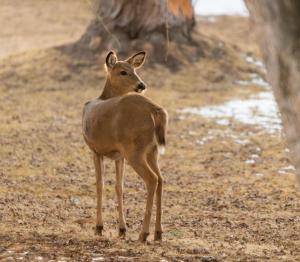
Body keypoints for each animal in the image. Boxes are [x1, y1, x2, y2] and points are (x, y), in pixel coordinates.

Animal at [82, 49, 168, 242]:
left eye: (134, 70)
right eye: (123, 71)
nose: (141, 85)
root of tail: (155, 110)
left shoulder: (95, 150)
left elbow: (100, 185)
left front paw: (99, 227)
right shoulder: (118, 155)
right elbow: (119, 187)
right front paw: (122, 229)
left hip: (134, 150)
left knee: (152, 179)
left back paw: (143, 234)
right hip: (152, 150)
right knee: (160, 179)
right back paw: (158, 233)